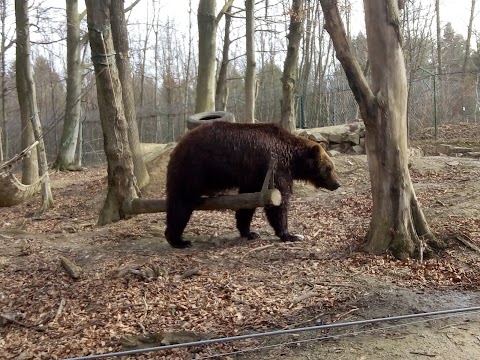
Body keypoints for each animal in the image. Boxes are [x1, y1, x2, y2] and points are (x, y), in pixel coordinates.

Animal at [165, 121, 342, 248]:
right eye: (329, 167)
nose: (337, 184)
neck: (292, 158)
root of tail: (179, 144)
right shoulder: (275, 168)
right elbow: (279, 202)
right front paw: (291, 234)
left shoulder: (254, 177)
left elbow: (247, 203)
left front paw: (249, 232)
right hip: (194, 168)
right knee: (181, 201)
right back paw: (179, 240)